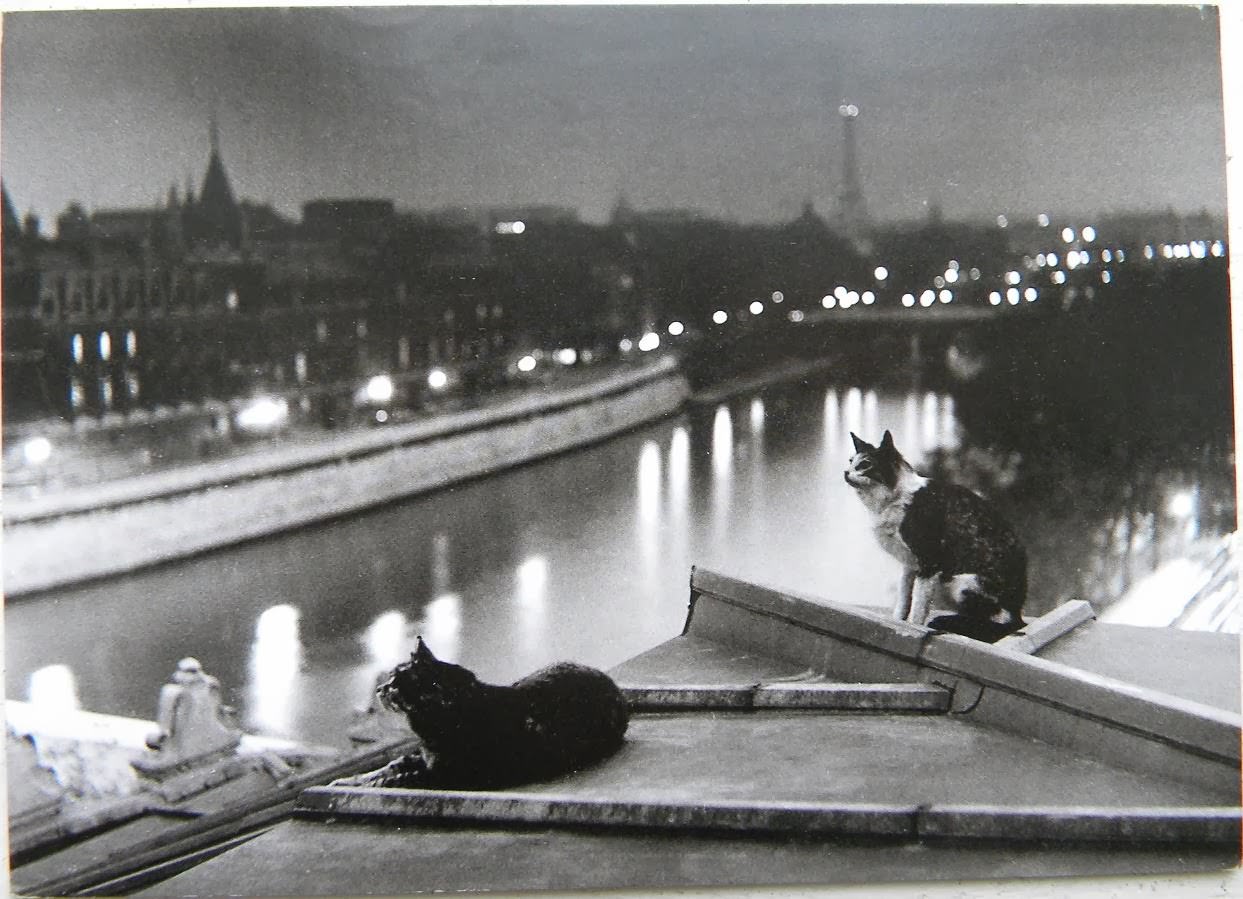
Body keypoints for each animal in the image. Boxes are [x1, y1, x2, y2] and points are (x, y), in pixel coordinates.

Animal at [845, 432, 1029, 641]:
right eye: (851, 461)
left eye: (865, 464)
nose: (846, 472)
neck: (888, 501)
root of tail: (1018, 613)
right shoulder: (909, 563)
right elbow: (903, 598)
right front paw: (897, 622)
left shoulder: (929, 563)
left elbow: (918, 607)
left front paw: (914, 630)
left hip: (961, 582)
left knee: (989, 623)